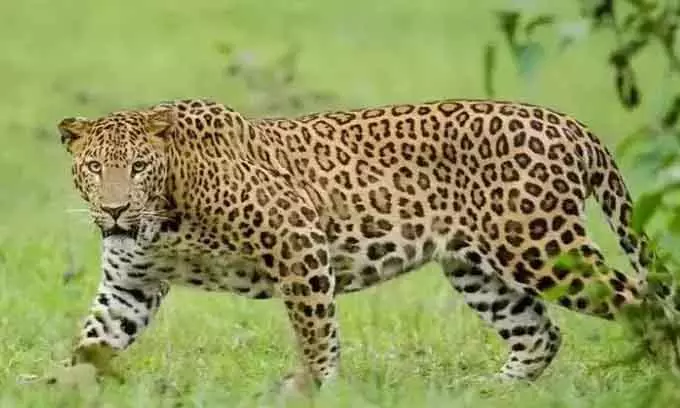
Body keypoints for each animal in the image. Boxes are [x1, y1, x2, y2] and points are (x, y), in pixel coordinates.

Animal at [54, 97, 653, 393]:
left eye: (138, 166)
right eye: (94, 168)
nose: (115, 209)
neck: (166, 214)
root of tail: (570, 124)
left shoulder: (298, 241)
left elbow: (316, 332)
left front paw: (315, 387)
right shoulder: (130, 285)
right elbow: (92, 343)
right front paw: (60, 387)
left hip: (541, 247)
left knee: (643, 304)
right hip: (478, 268)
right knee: (539, 334)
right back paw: (491, 391)